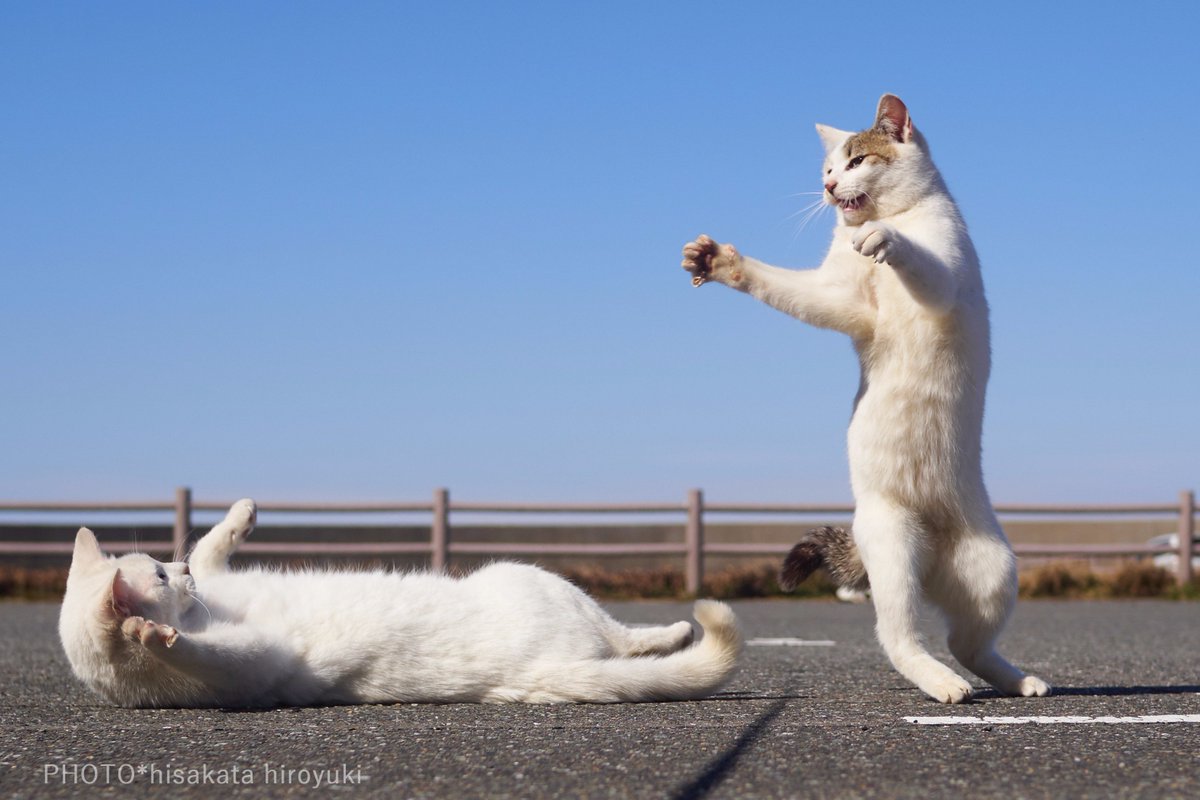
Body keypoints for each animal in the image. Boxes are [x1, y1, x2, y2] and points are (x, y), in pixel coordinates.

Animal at [60, 503, 739, 710]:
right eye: (156, 575)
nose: (173, 572)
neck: (205, 611)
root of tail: (539, 673)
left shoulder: (217, 577)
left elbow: (209, 545)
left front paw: (240, 515)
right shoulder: (245, 669)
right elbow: (202, 652)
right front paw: (154, 635)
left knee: (627, 638)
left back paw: (674, 629)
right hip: (532, 578)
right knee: (620, 639)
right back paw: (675, 629)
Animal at [686, 97, 1051, 705]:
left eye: (855, 161)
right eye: (826, 169)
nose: (830, 185)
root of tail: (931, 559)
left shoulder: (942, 276)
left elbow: (921, 264)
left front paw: (885, 242)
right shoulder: (841, 301)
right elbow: (789, 288)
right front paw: (718, 262)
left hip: (993, 571)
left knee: (965, 644)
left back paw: (1012, 679)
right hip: (895, 546)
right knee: (902, 636)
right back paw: (947, 682)